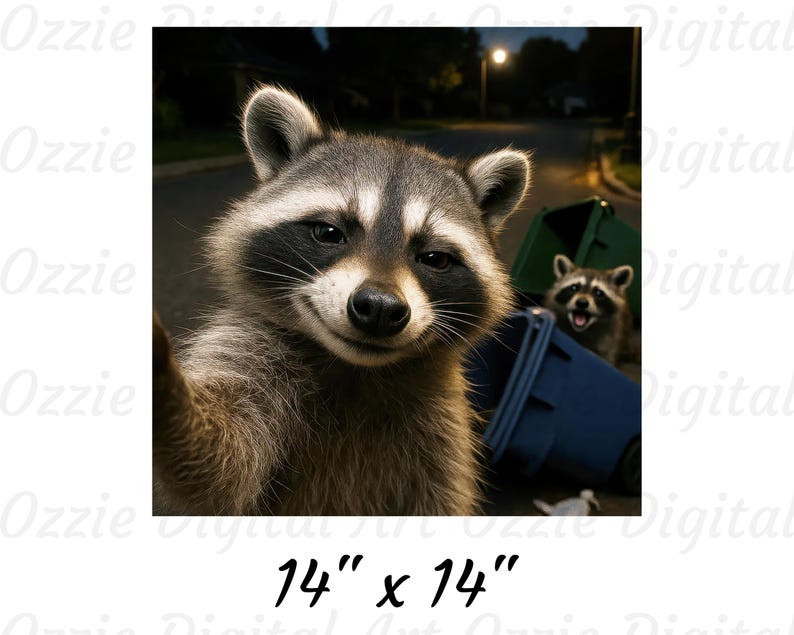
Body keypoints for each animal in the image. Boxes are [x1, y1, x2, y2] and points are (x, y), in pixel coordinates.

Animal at [152, 86, 532, 515]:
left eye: (434, 258)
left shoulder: (443, 429)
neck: (355, 368)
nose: (380, 308)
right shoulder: (251, 352)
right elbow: (221, 468)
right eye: (329, 232)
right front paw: (172, 396)